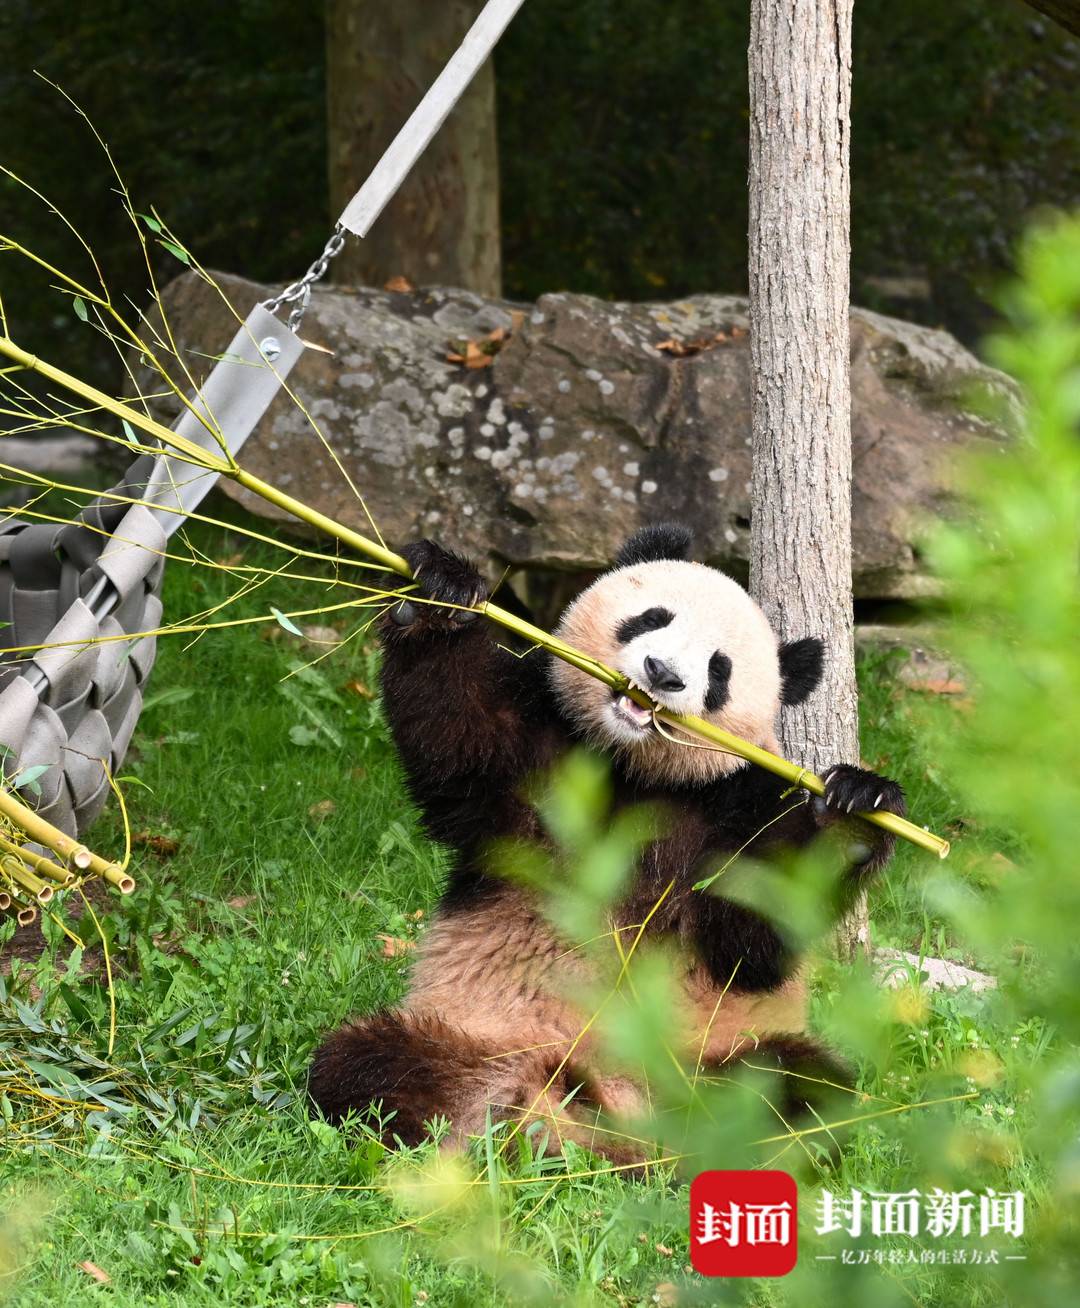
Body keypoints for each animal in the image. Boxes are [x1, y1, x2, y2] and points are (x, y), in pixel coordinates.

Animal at [307, 525, 904, 1161]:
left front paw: (856, 812)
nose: (662, 672)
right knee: (367, 1065)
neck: (635, 768)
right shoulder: (543, 757)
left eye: (719, 669)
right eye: (651, 618)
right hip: (476, 1031)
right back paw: (490, 1122)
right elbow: (461, 741)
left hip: (714, 1052)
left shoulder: (742, 797)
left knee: (797, 1088)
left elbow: (753, 937)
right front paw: (442, 593)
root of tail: (605, 1107)